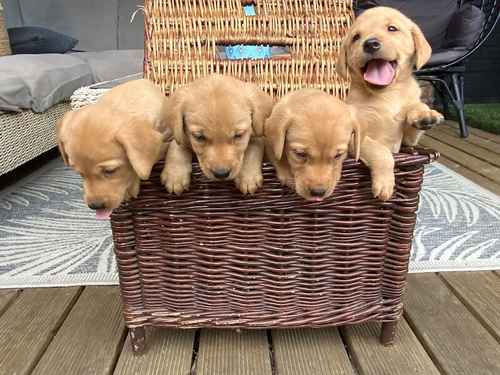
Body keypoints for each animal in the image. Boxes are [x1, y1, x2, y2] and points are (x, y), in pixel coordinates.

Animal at [338, 5, 444, 201]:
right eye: (356, 37)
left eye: (392, 28)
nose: (370, 43)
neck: (387, 95)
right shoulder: (355, 138)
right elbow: (381, 151)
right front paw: (385, 184)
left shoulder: (407, 142)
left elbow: (414, 112)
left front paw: (424, 114)